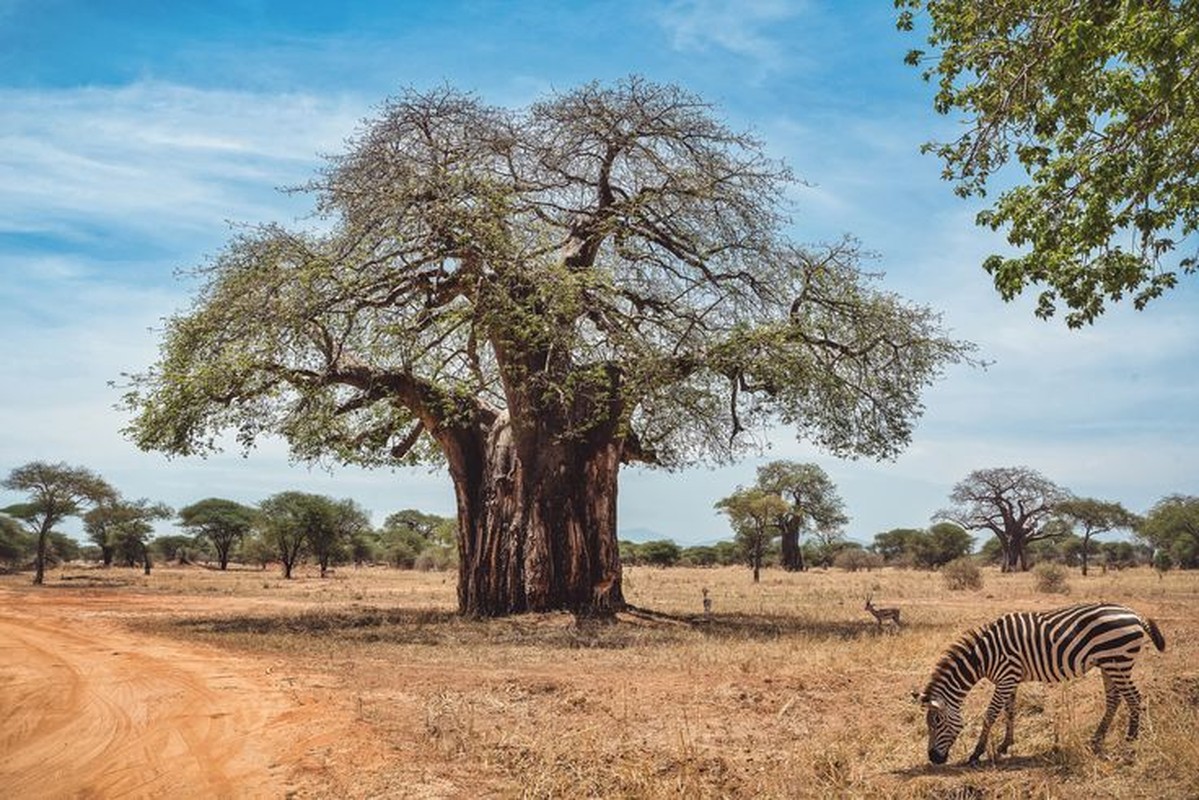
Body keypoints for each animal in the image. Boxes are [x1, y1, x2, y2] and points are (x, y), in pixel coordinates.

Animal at [916, 604, 1160, 767]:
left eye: (936, 722)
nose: (933, 759)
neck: (983, 657)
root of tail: (1134, 614)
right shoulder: (1010, 679)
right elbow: (1009, 711)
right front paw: (1005, 745)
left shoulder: (1006, 677)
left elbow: (991, 714)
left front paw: (977, 753)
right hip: (1109, 664)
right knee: (1114, 699)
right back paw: (1097, 739)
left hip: (1119, 662)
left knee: (1134, 698)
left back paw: (1130, 741)